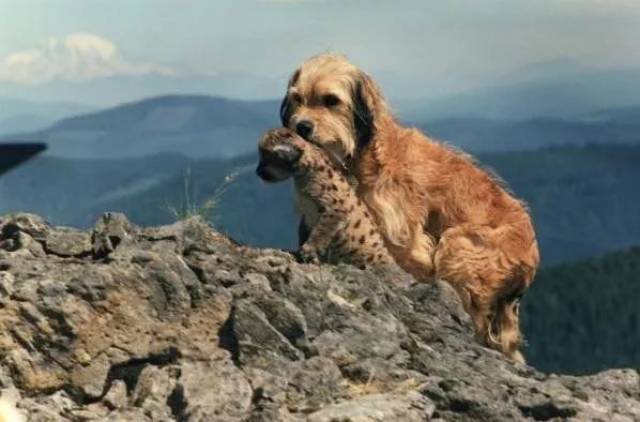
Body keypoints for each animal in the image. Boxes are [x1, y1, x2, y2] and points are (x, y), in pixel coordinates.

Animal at [280, 52, 540, 362]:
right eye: (297, 99)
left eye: (331, 100)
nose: (301, 127)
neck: (363, 153)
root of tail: (531, 256)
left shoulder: (401, 234)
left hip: (460, 248)